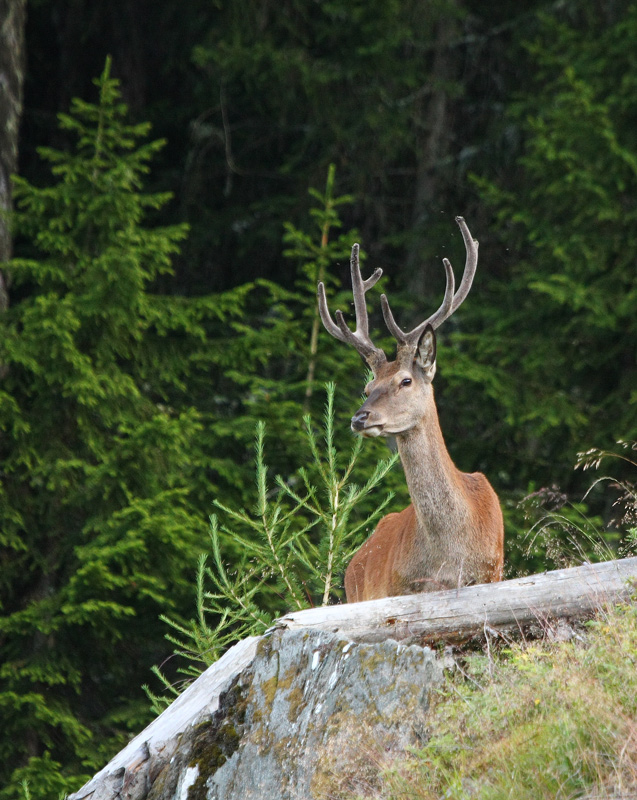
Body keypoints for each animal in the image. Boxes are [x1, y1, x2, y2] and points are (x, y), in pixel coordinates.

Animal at [317, 217, 504, 603]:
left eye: (405, 381)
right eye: (368, 388)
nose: (359, 417)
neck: (451, 557)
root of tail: (354, 561)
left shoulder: (494, 572)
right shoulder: (399, 587)